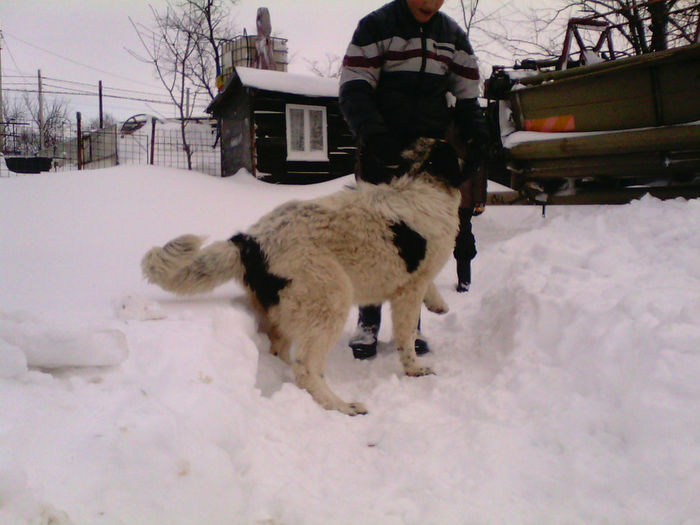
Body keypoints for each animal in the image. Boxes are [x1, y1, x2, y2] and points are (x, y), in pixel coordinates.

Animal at [143, 138, 468, 414]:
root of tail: (252, 241)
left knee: (283, 353)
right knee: (306, 369)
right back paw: (340, 405)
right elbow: (407, 334)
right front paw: (415, 369)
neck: (426, 181)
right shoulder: (409, 289)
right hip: (330, 299)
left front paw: (438, 303)